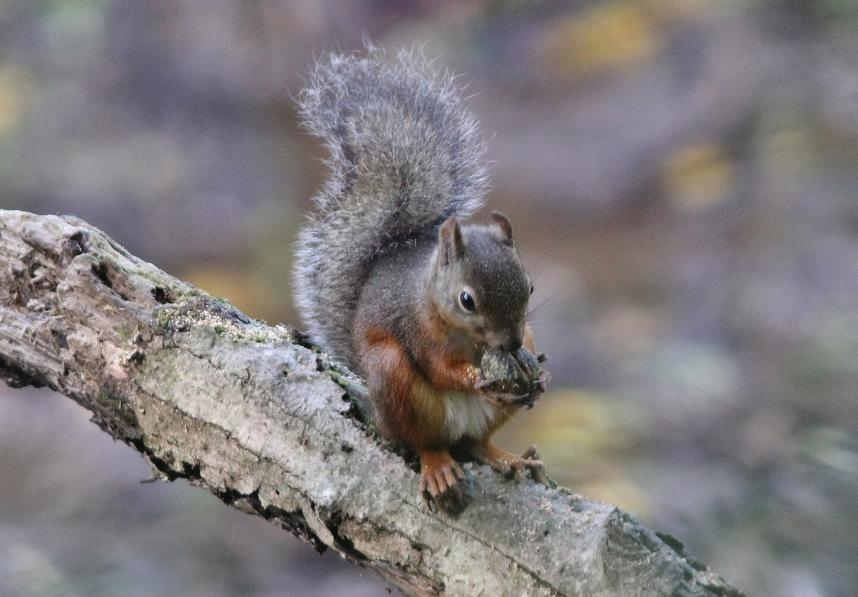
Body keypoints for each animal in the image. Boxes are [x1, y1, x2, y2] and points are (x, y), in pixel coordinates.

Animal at [294, 49, 544, 510]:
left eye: (530, 287)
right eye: (467, 300)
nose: (513, 344)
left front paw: (540, 376)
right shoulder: (419, 329)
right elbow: (440, 369)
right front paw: (476, 379)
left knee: (477, 443)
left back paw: (507, 457)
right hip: (394, 381)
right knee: (423, 441)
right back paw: (438, 466)